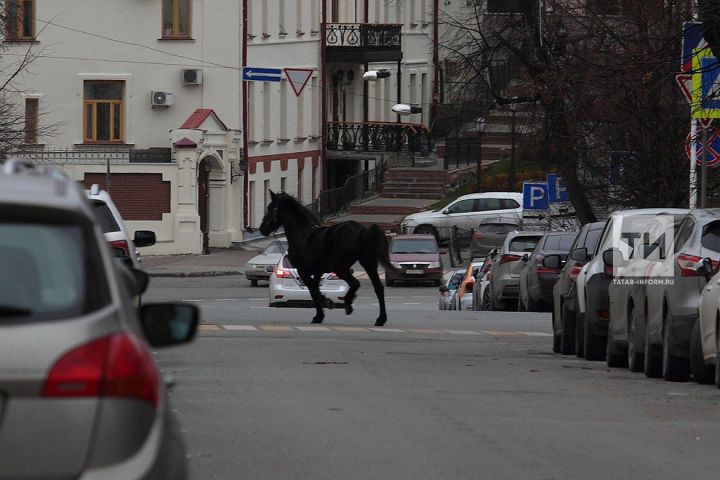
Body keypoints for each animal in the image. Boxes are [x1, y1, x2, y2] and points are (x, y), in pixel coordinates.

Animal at [258, 190, 396, 326]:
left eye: (271, 207)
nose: (262, 229)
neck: (301, 234)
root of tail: (361, 231)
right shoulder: (318, 271)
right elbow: (315, 288)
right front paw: (323, 307)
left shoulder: (303, 271)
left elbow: (313, 291)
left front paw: (320, 313)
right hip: (368, 264)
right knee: (378, 288)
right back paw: (380, 319)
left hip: (340, 267)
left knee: (355, 283)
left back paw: (348, 304)